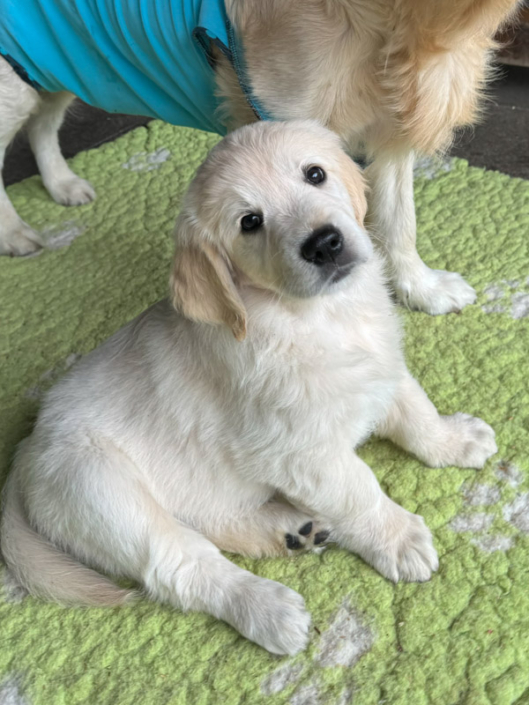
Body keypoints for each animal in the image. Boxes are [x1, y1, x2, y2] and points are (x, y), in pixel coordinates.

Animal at [0, 0, 520, 316]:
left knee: (42, 125)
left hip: (53, 68)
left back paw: (63, 184)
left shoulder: (390, 129)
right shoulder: (276, 123)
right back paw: (15, 233)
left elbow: (398, 221)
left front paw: (421, 289)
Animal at [1, 121, 498, 655]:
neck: (319, 318)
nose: (324, 243)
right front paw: (397, 536)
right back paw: (266, 608)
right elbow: (358, 490)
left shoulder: (382, 367)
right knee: (178, 563)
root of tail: (27, 448)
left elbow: (416, 411)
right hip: (103, 492)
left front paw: (454, 440)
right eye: (250, 222)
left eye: (315, 174)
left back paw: (294, 531)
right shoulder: (302, 451)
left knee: (210, 520)